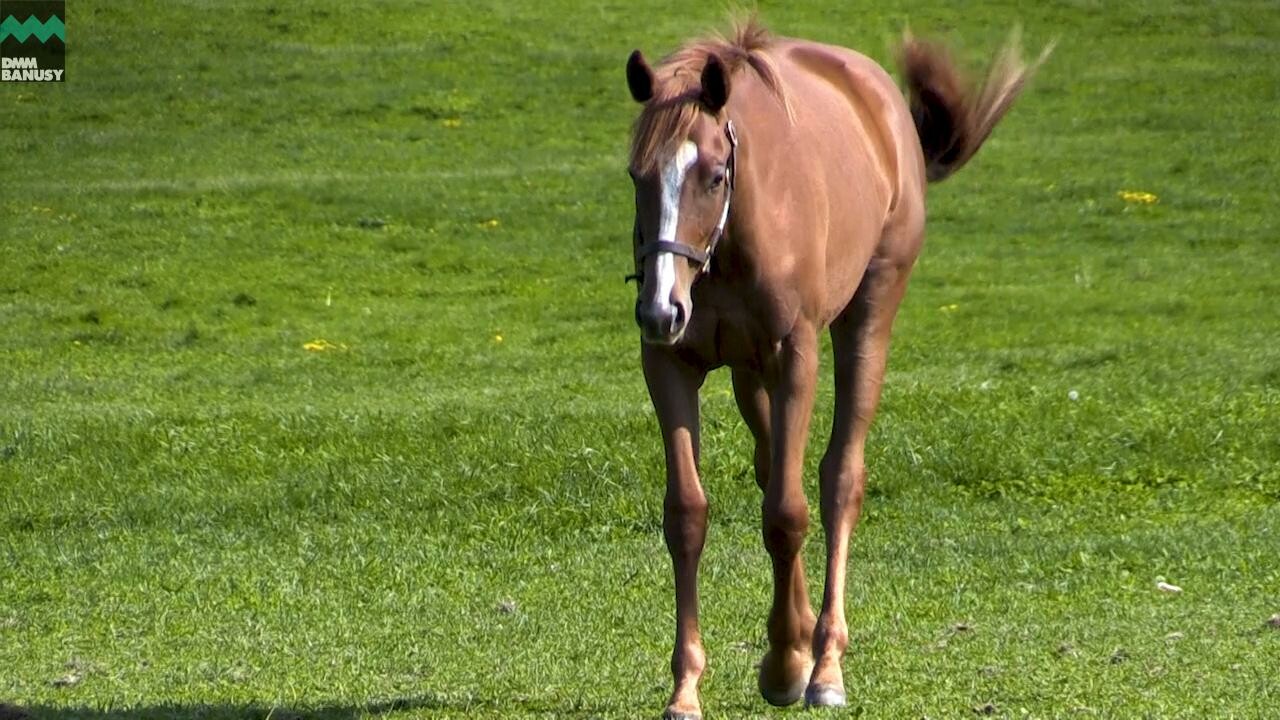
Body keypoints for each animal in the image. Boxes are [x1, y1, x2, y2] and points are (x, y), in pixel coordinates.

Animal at [622, 16, 1049, 717]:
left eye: (712, 175)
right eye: (638, 175)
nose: (661, 307)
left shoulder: (796, 356)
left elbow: (788, 513)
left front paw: (790, 664)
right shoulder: (670, 363)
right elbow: (687, 514)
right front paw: (688, 686)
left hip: (866, 320)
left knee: (837, 480)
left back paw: (821, 663)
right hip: (748, 374)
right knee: (773, 467)